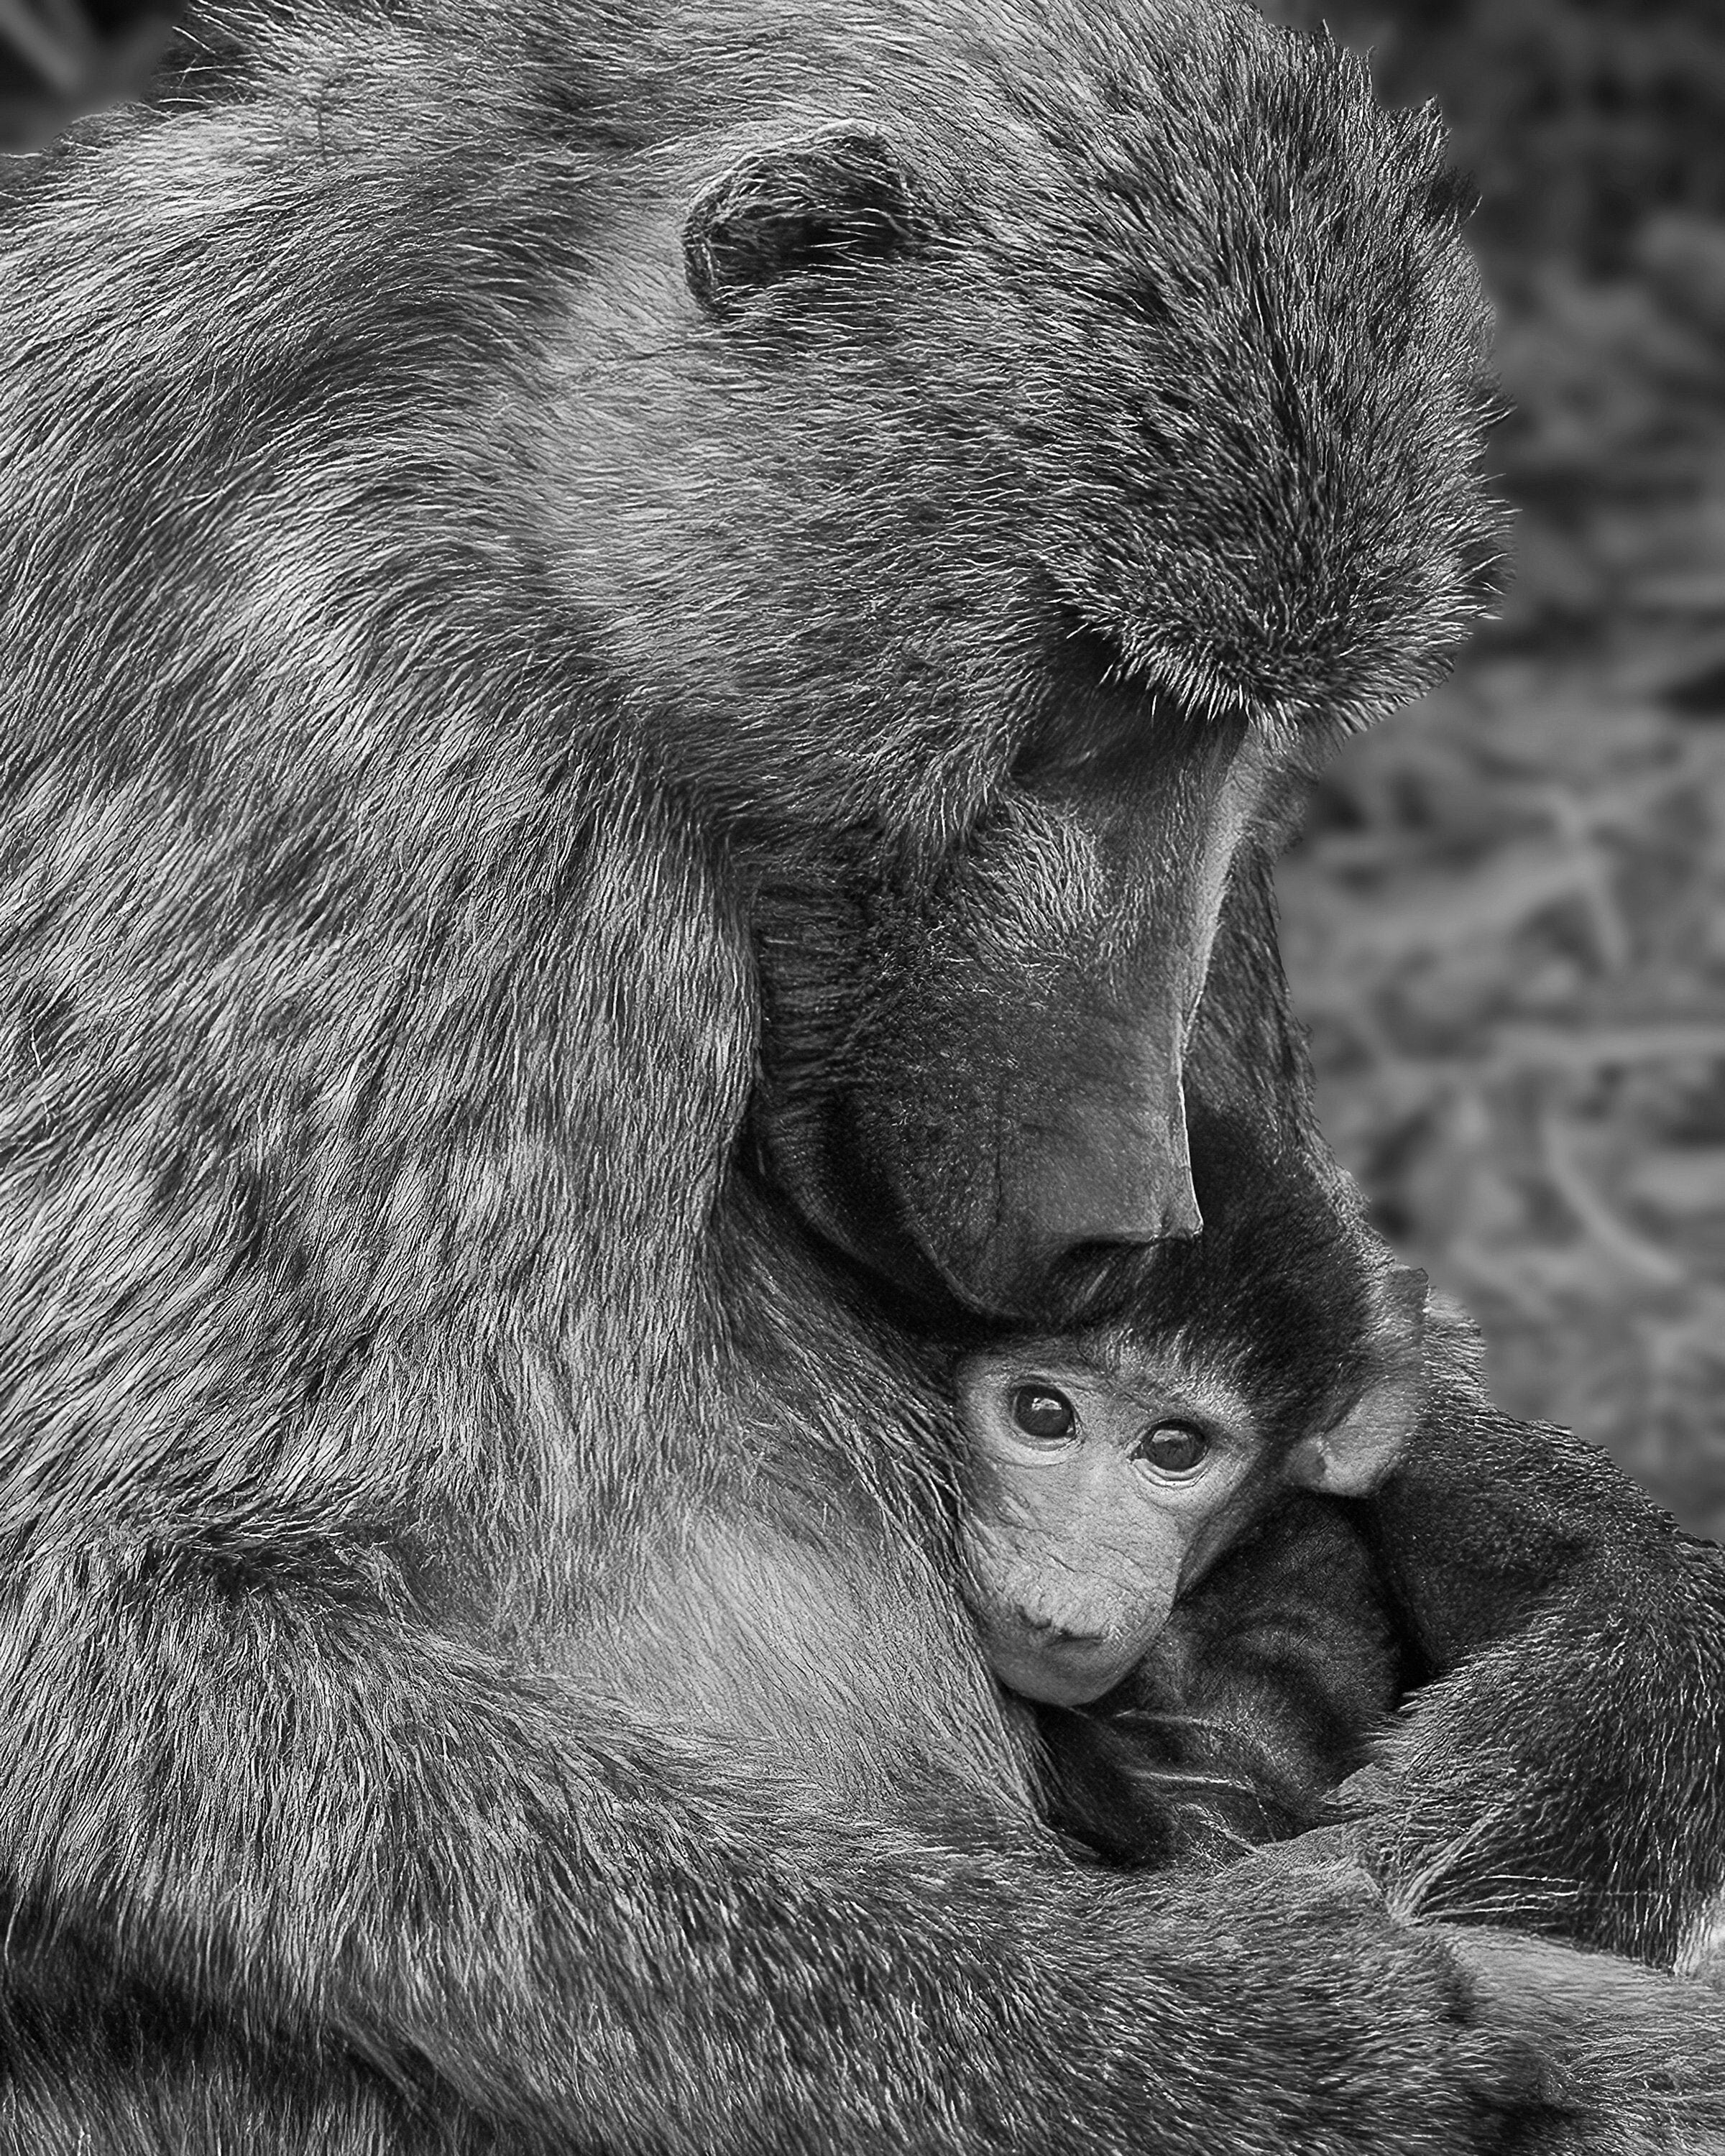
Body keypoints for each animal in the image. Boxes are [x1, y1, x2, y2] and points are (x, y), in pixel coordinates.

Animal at [3, 0, 1725, 2150]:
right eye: (1092, 688)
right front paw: (1251, 2048)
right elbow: (94, 1629)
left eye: (1232, 732)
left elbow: (1359, 1351)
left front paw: (1588, 1717)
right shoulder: (381, 753)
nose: (1120, 1201)